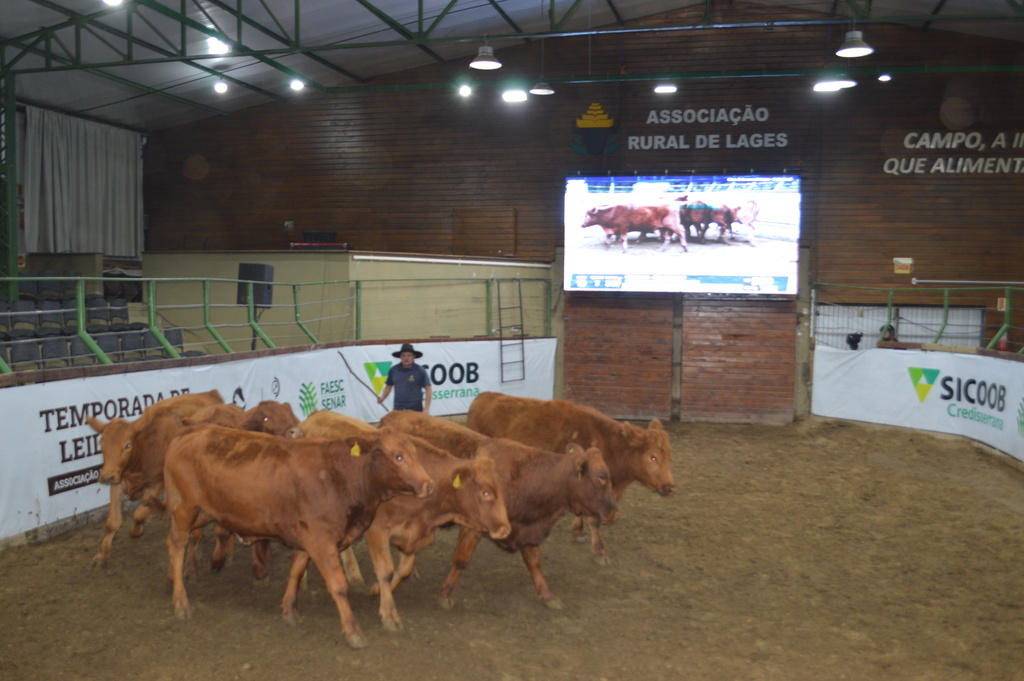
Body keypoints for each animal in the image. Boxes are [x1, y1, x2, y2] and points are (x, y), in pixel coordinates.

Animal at [84, 391, 223, 565]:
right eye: (101, 444)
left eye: (127, 445)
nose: (106, 476)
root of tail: (210, 393)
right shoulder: (118, 481)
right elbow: (113, 522)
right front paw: (102, 554)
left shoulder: (156, 483)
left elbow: (139, 513)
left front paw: (136, 530)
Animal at [162, 426, 432, 647]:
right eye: (398, 456)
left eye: (414, 453)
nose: (429, 485)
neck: (341, 475)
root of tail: (190, 432)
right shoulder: (321, 540)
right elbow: (338, 585)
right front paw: (353, 631)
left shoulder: (307, 537)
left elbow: (296, 570)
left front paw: (288, 609)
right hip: (185, 506)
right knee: (178, 543)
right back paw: (181, 602)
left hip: (205, 511)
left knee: (171, 540)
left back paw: (171, 580)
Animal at [382, 409, 614, 606]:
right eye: (601, 477)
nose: (614, 511)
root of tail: (389, 417)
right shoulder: (473, 527)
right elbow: (460, 559)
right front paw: (446, 593)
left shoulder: (525, 528)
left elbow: (534, 562)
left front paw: (548, 595)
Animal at [466, 391, 675, 565]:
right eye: (653, 457)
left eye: (669, 455)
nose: (670, 487)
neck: (608, 443)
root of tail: (482, 397)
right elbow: (594, 520)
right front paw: (600, 552)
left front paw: (578, 531)